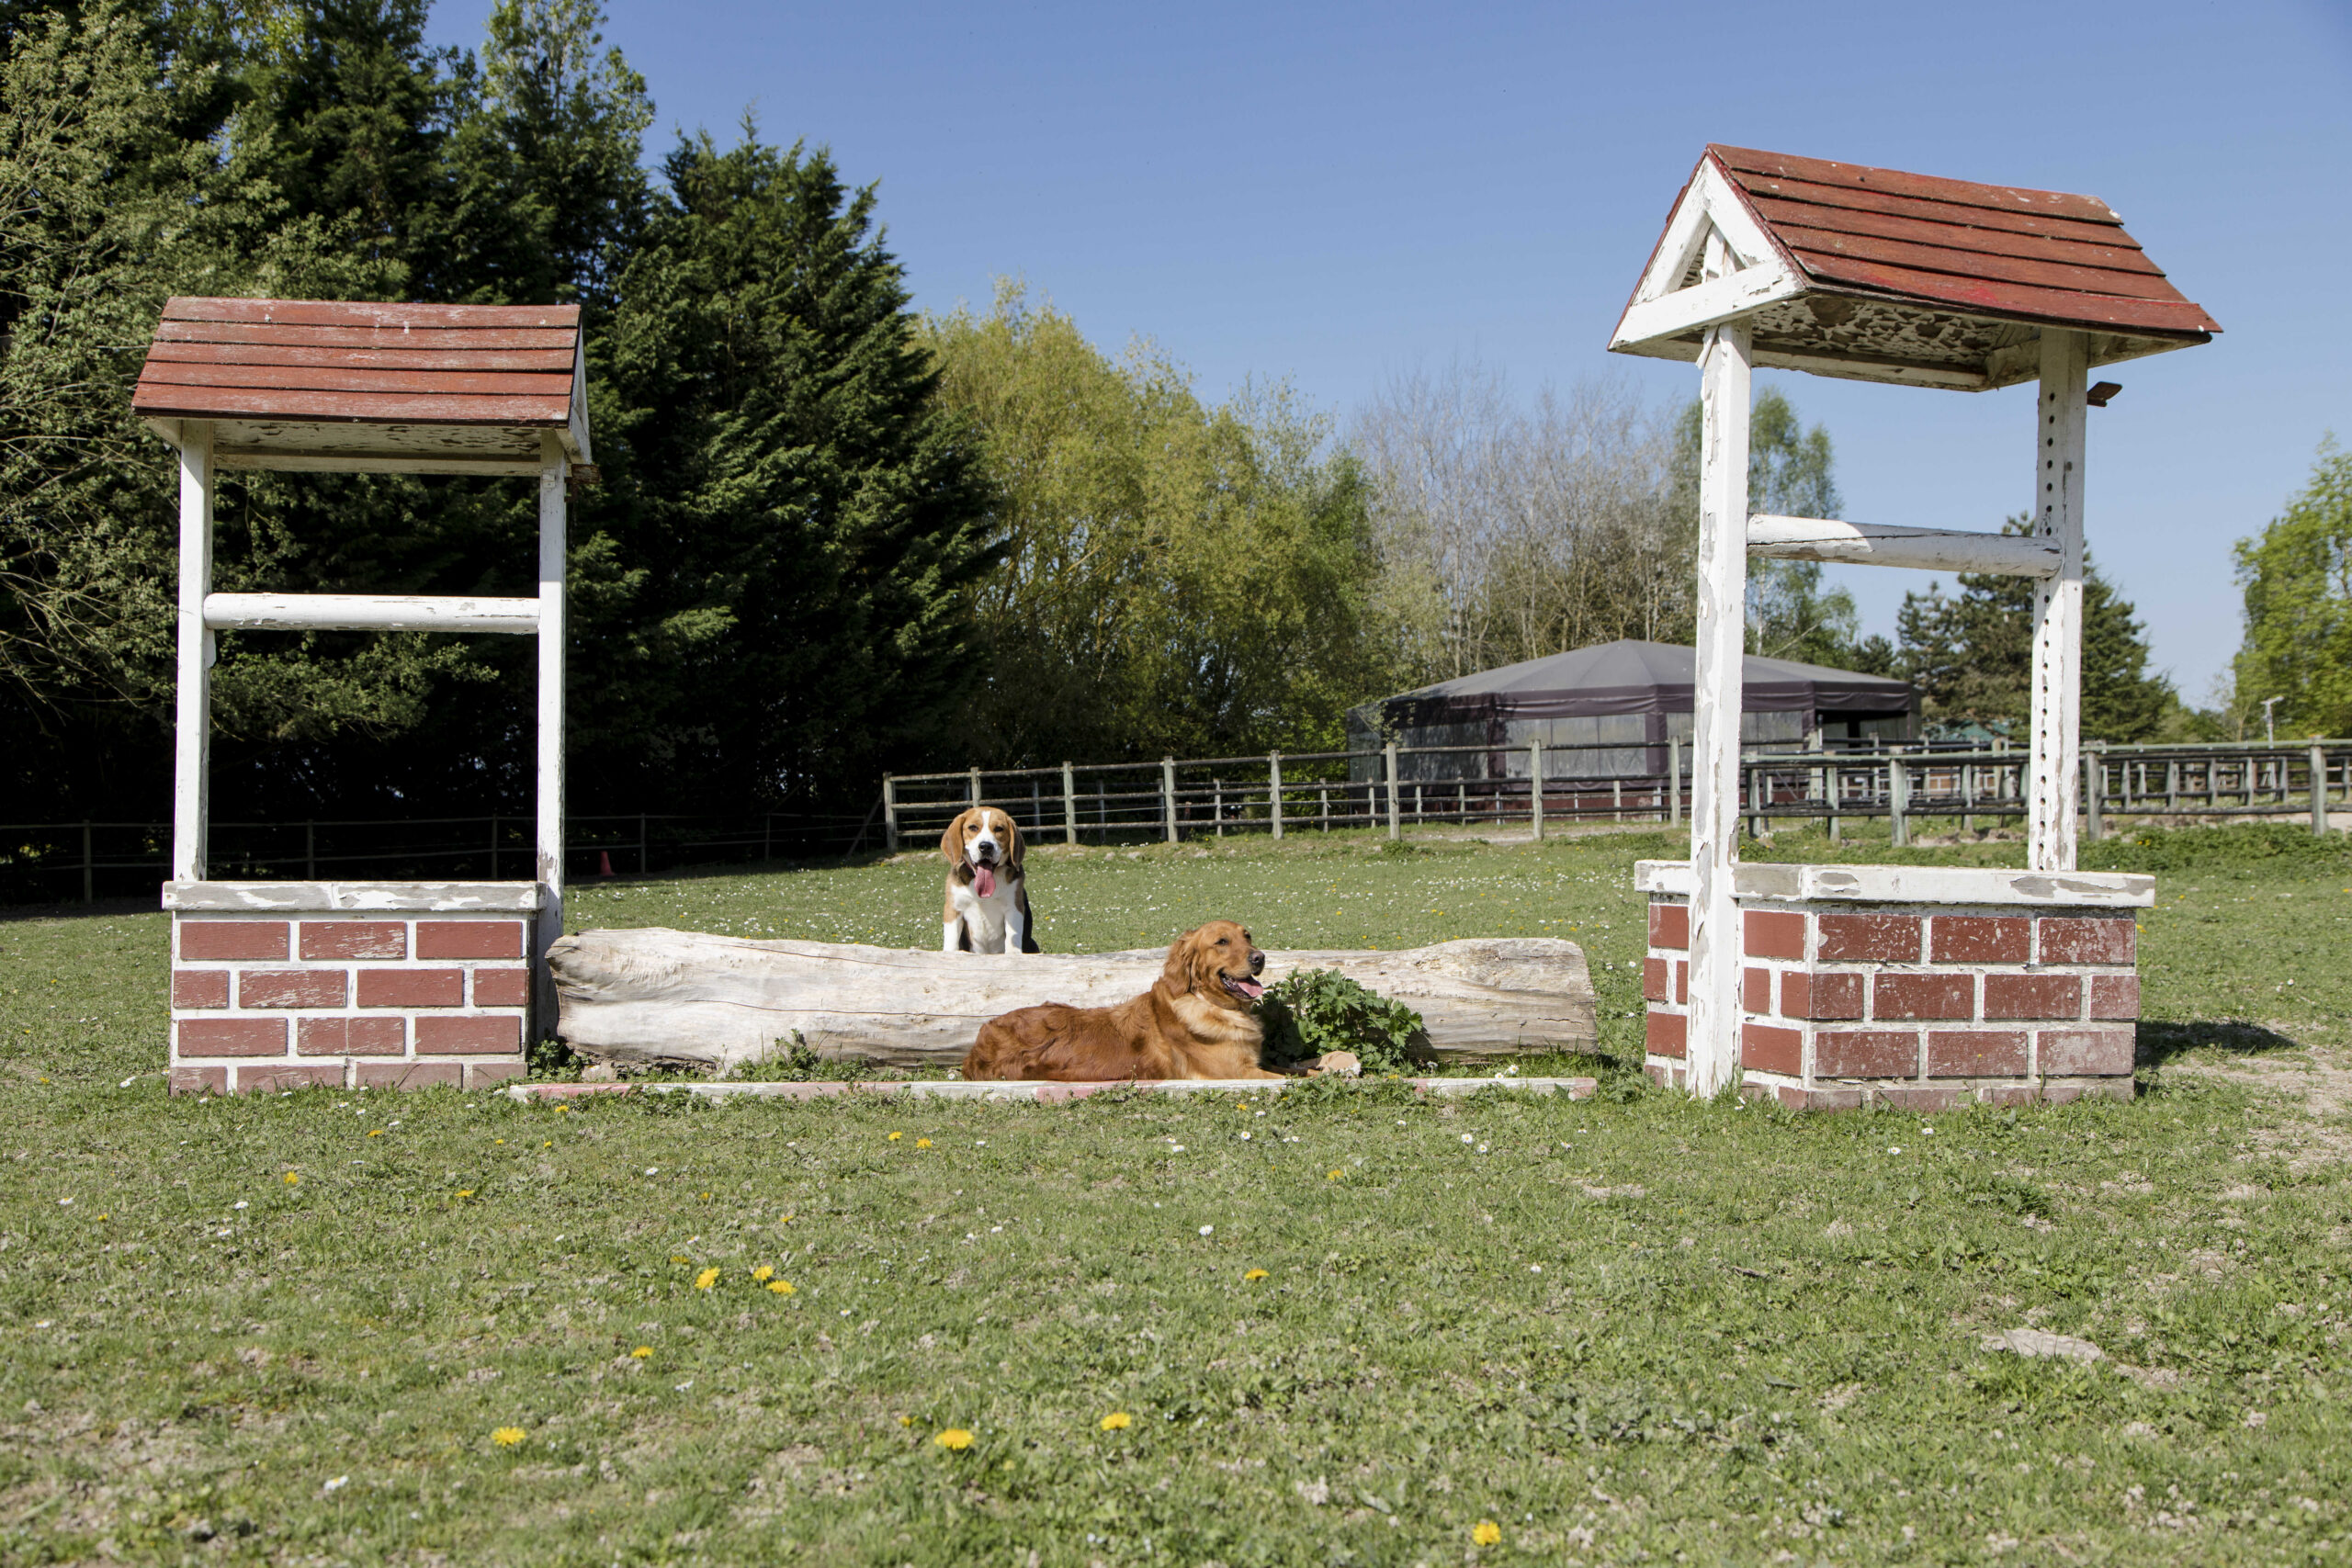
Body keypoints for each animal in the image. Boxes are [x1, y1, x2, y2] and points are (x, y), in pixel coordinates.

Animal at [941, 806, 1040, 955]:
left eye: (999, 828)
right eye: (973, 827)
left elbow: (1013, 938)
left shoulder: (1013, 908)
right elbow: (952, 941)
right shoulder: (953, 909)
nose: (986, 846)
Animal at [962, 920, 1286, 1082]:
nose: (1260, 957)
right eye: (1221, 942)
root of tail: (978, 1043)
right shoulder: (1238, 1073)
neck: (1211, 1003)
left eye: (1247, 936)